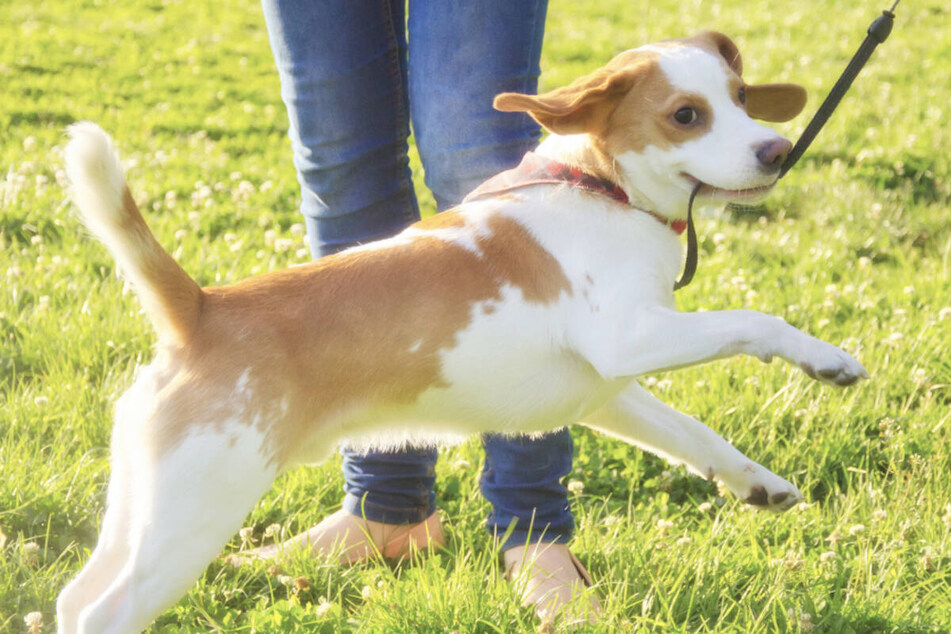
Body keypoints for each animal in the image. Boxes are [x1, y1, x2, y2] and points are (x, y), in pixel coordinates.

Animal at [55, 30, 868, 632]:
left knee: (72, 599)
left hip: (146, 504)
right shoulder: (630, 339)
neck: (601, 189)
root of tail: (201, 308)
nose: (776, 151)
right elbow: (754, 320)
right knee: (104, 611)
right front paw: (825, 359)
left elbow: (696, 434)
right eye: (686, 115)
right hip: (193, 516)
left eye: (740, 97)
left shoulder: (604, 390)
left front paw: (758, 484)